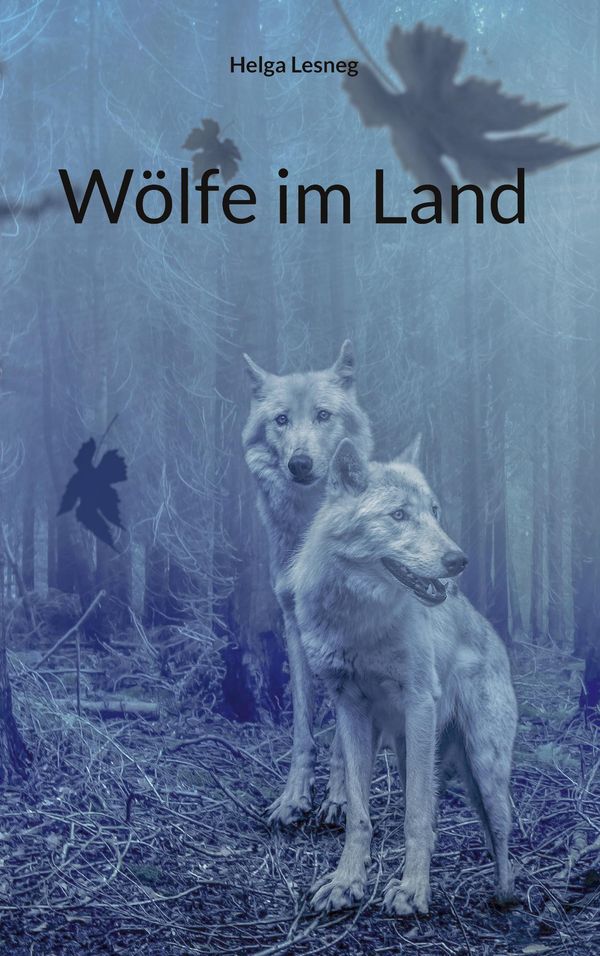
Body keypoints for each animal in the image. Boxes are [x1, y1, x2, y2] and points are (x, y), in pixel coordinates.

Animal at [242, 342, 373, 824]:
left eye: (322, 415)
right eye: (282, 419)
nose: (300, 462)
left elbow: (342, 737)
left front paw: (339, 800)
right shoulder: (294, 626)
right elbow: (303, 727)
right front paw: (293, 798)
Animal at [291, 437, 517, 914]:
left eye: (434, 512)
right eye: (398, 515)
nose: (458, 560)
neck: (359, 621)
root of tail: (494, 638)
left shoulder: (419, 703)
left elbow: (416, 815)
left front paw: (413, 891)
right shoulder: (350, 709)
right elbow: (359, 814)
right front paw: (346, 883)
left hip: (484, 766)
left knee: (501, 832)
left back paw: (504, 895)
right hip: (408, 749)